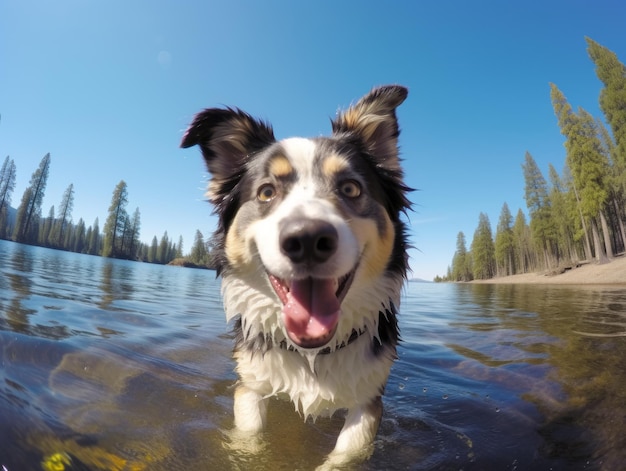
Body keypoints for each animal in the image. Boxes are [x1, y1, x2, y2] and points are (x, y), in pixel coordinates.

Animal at [179, 84, 410, 464]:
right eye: (266, 192)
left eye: (350, 188)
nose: (307, 240)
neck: (312, 354)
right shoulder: (250, 382)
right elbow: (249, 438)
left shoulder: (369, 397)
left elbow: (348, 453)